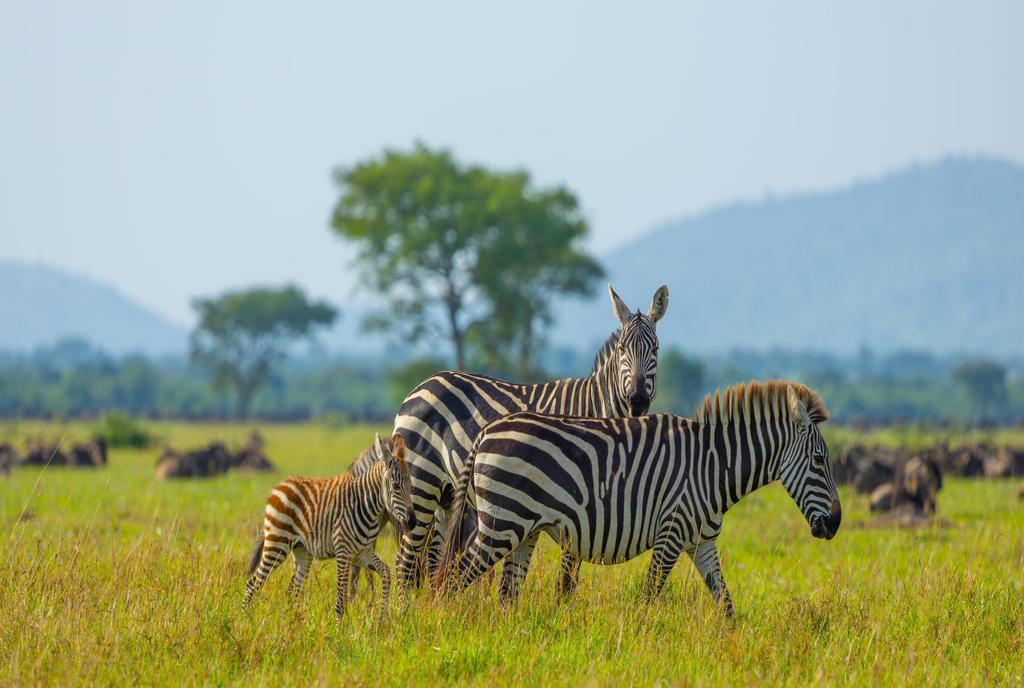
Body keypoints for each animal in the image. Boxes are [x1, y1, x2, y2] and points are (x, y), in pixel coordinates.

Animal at [243, 434, 415, 621]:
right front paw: (339, 627)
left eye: (411, 485)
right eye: (396, 486)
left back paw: (293, 623)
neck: (365, 506)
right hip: (277, 543)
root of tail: (281, 484)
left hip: (302, 550)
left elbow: (386, 573)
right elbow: (341, 599)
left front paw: (381, 619)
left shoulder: (361, 553)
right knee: (252, 583)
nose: (412, 521)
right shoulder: (343, 553)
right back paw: (245, 620)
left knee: (292, 591)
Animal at [393, 283, 670, 592]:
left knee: (430, 560)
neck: (597, 407)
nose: (637, 401)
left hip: (447, 494)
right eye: (622, 349)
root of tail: (422, 385)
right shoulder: (578, 503)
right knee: (405, 560)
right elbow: (567, 578)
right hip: (422, 482)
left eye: (656, 349)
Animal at [435, 381, 841, 614]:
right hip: (501, 524)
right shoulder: (671, 534)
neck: (713, 466)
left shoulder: (701, 543)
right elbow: (649, 597)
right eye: (820, 460)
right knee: (452, 578)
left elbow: (726, 604)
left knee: (506, 594)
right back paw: (440, 624)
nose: (836, 524)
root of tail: (486, 431)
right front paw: (640, 644)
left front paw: (735, 651)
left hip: (523, 531)